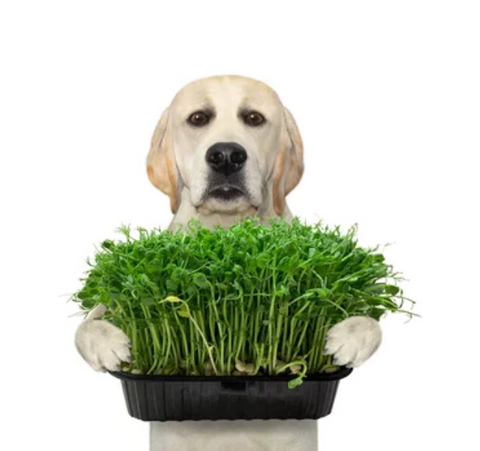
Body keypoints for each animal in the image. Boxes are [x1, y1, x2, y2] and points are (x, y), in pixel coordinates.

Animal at [76, 76, 382, 450]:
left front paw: (349, 337)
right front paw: (107, 343)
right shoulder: (114, 303)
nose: (225, 155)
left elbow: (370, 316)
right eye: (198, 118)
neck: (227, 227)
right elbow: (87, 323)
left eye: (254, 118)